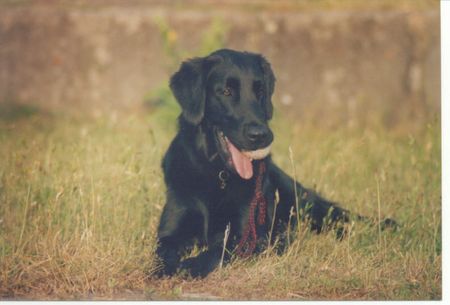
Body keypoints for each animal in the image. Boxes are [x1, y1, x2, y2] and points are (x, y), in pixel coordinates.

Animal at [155, 48, 394, 278]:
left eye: (260, 92)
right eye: (226, 92)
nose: (262, 135)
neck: (217, 174)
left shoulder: (244, 234)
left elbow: (216, 251)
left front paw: (190, 265)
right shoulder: (172, 227)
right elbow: (163, 251)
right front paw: (165, 268)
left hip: (304, 201)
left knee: (341, 217)